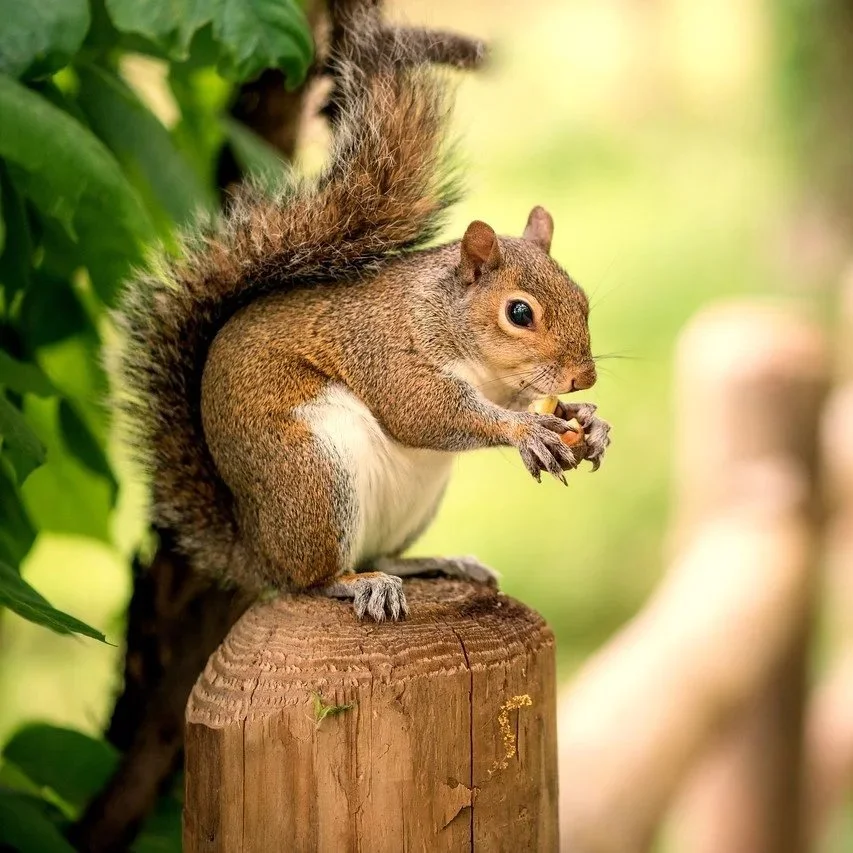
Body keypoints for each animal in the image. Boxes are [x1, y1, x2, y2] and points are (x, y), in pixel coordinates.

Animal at [115, 3, 611, 622]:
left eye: (583, 298)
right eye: (519, 313)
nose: (584, 376)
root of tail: (256, 551)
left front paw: (589, 421)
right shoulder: (381, 347)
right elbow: (420, 410)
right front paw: (525, 429)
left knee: (381, 551)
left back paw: (435, 563)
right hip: (312, 476)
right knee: (312, 578)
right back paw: (356, 584)